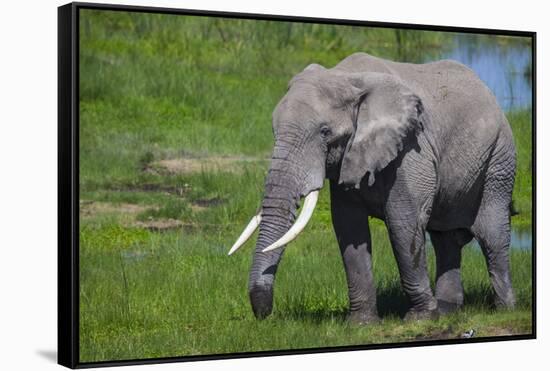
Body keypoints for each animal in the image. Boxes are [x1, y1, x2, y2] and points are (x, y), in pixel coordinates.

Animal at [229, 53, 516, 326]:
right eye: (273, 130)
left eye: (325, 132)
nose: (265, 315)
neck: (346, 78)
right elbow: (348, 227)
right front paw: (361, 324)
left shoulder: (411, 149)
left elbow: (404, 223)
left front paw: (420, 319)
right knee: (445, 240)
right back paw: (447, 312)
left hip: (499, 160)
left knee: (492, 235)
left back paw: (503, 310)